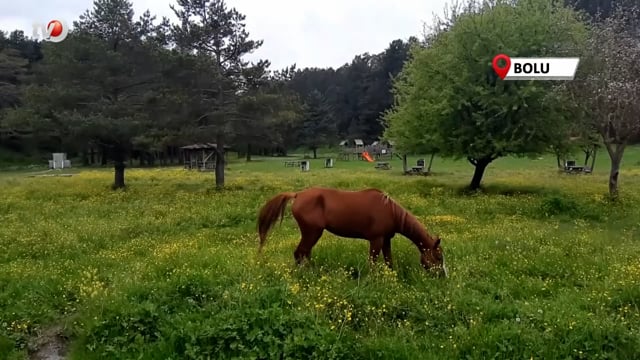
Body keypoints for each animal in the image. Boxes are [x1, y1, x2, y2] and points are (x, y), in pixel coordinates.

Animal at [255, 187, 444, 278]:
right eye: (438, 257)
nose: (442, 276)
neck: (390, 211)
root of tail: (297, 194)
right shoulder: (376, 240)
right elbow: (373, 262)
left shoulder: (386, 240)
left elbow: (389, 261)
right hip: (312, 232)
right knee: (300, 253)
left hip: (311, 234)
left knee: (304, 253)